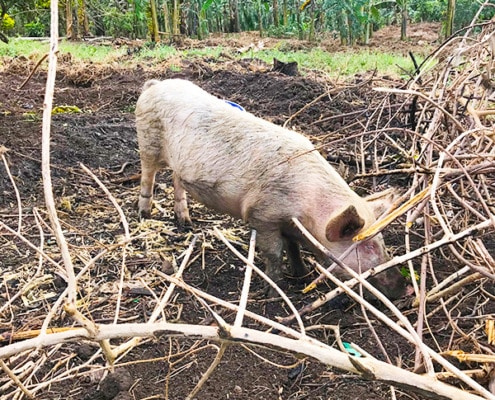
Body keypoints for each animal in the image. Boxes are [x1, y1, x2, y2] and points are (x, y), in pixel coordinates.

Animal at [135, 77, 406, 296]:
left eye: (381, 241)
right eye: (366, 245)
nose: (406, 289)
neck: (307, 205)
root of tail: (154, 85)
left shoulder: (288, 223)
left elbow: (293, 248)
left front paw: (302, 274)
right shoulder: (263, 215)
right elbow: (274, 253)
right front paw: (275, 292)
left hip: (179, 164)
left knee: (176, 181)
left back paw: (186, 222)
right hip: (147, 144)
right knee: (148, 176)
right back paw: (144, 214)